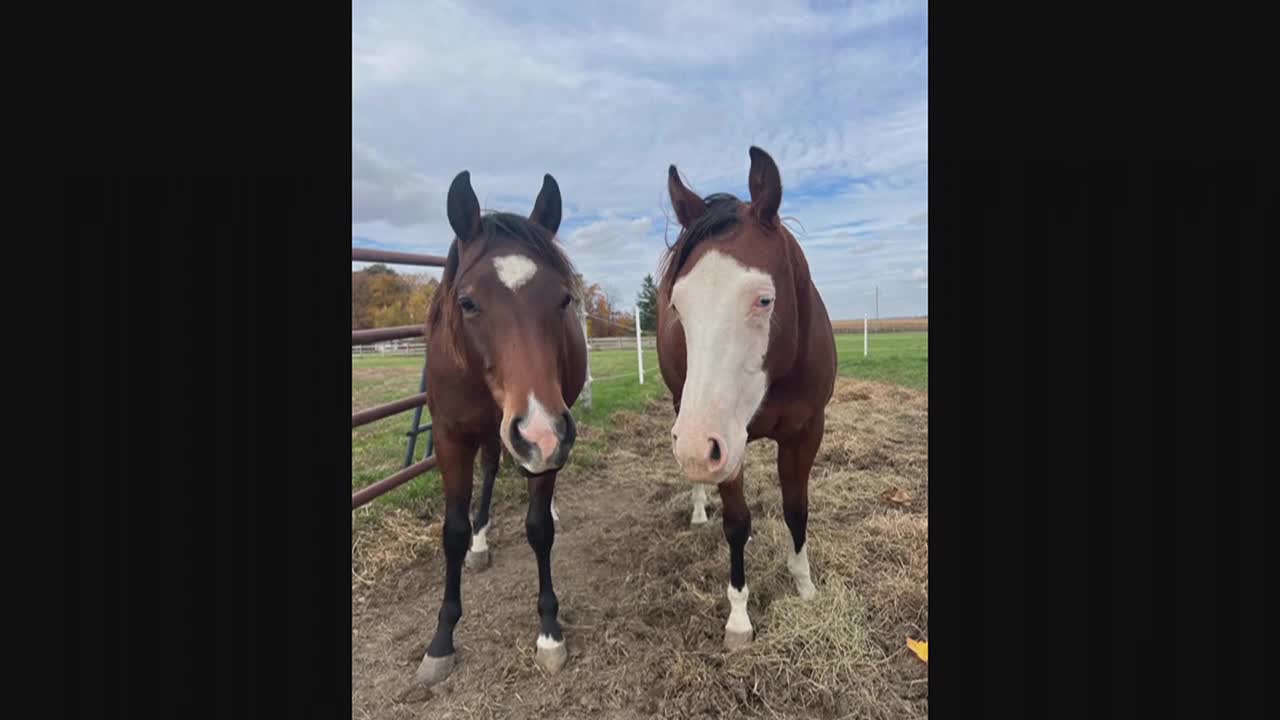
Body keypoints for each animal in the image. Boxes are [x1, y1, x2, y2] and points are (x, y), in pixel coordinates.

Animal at [414, 170, 587, 685]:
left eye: (563, 298)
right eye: (468, 302)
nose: (541, 432)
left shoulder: (548, 437)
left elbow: (538, 528)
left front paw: (549, 631)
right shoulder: (451, 438)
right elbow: (451, 532)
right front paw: (441, 640)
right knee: (490, 470)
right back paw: (480, 540)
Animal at [656, 146, 837, 650]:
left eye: (764, 300)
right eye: (678, 306)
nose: (695, 449)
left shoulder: (806, 432)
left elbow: (797, 508)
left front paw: (805, 586)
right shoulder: (723, 444)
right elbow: (736, 523)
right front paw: (739, 617)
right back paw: (700, 508)